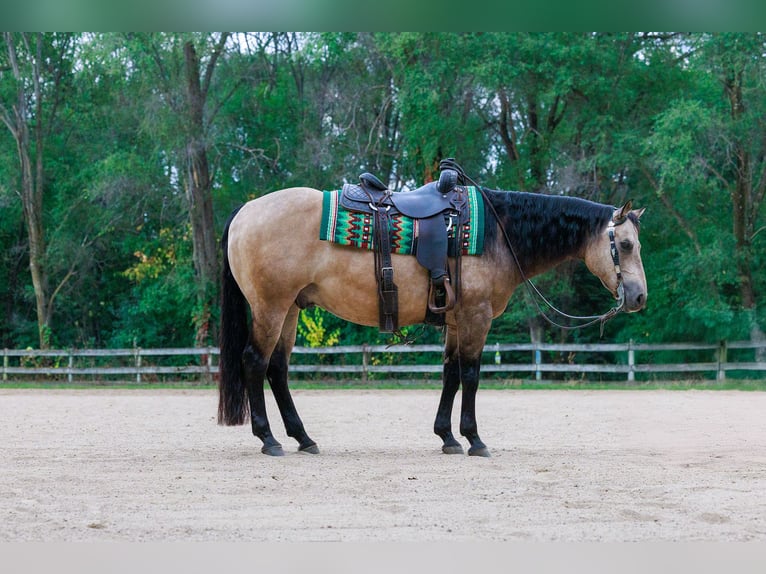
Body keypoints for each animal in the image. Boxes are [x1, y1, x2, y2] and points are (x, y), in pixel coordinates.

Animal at [217, 185, 647, 457]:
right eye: (625, 245)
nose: (639, 297)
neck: (497, 233)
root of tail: (243, 212)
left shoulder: (456, 321)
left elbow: (450, 374)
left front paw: (447, 437)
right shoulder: (476, 318)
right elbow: (470, 375)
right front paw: (474, 439)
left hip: (290, 308)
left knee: (277, 369)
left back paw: (303, 438)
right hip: (271, 307)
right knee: (255, 362)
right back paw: (269, 439)